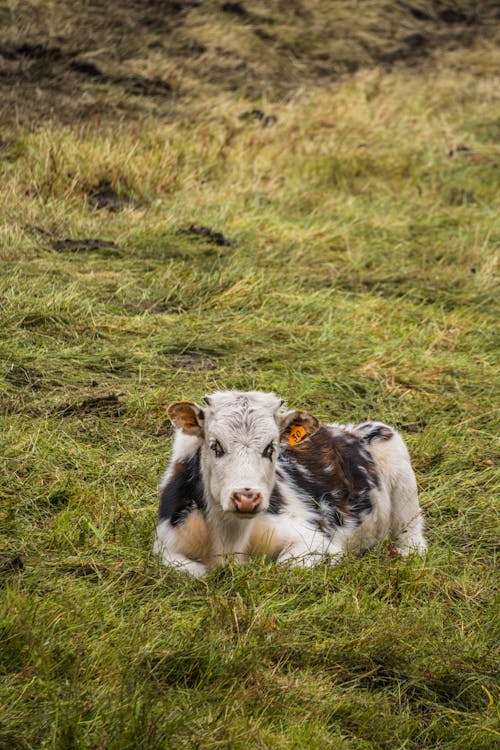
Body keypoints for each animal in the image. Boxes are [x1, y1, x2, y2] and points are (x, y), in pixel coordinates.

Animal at [152, 390, 426, 580]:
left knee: (414, 540)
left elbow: (286, 565)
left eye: (271, 447)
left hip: (397, 464)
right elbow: (191, 570)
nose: (246, 498)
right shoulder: (165, 544)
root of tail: (344, 429)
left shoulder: (314, 539)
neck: (229, 539)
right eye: (215, 445)